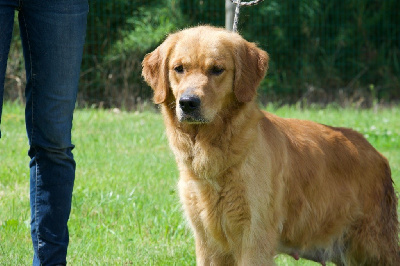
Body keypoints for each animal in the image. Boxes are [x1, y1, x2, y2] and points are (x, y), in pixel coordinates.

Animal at [142, 26, 398, 264]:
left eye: (217, 69)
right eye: (179, 68)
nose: (188, 103)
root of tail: (378, 155)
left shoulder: (255, 237)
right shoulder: (207, 241)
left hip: (374, 248)